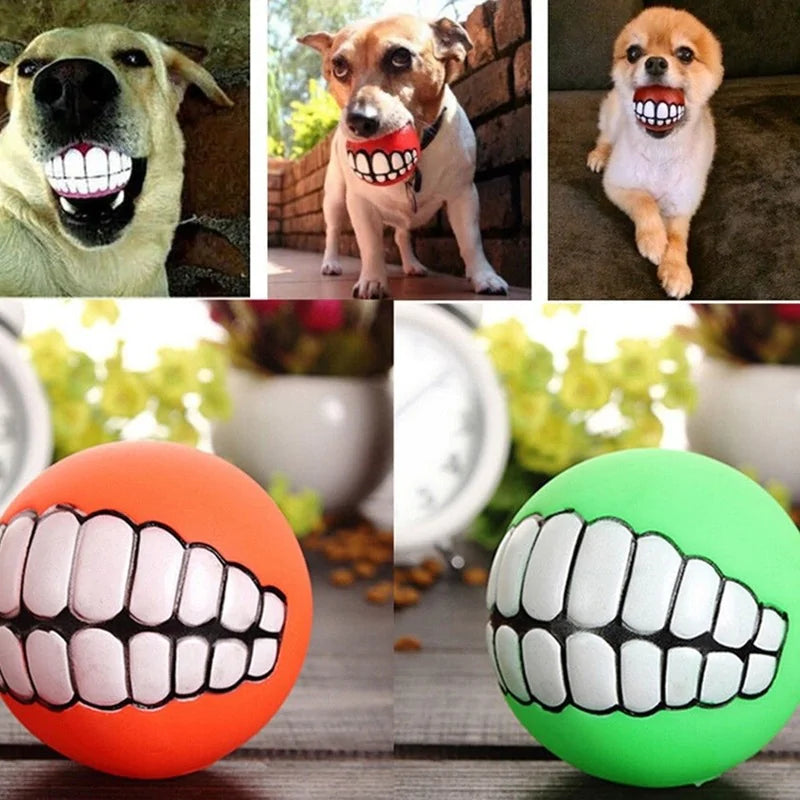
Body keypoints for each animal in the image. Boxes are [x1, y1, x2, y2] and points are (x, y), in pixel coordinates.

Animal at [296, 14, 510, 302]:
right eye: (338, 67)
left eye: (400, 56)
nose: (357, 120)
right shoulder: (360, 204)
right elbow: (371, 246)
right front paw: (372, 281)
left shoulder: (464, 195)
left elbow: (470, 240)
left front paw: (484, 276)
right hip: (335, 198)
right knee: (332, 231)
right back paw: (330, 263)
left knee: (401, 236)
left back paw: (412, 265)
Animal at [588, 7, 724, 296]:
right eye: (633, 53)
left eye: (685, 54)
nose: (655, 62)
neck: (661, 151)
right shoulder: (617, 185)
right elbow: (644, 200)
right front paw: (653, 240)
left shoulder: (683, 204)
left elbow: (678, 236)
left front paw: (677, 269)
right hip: (613, 117)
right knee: (605, 135)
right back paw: (599, 155)